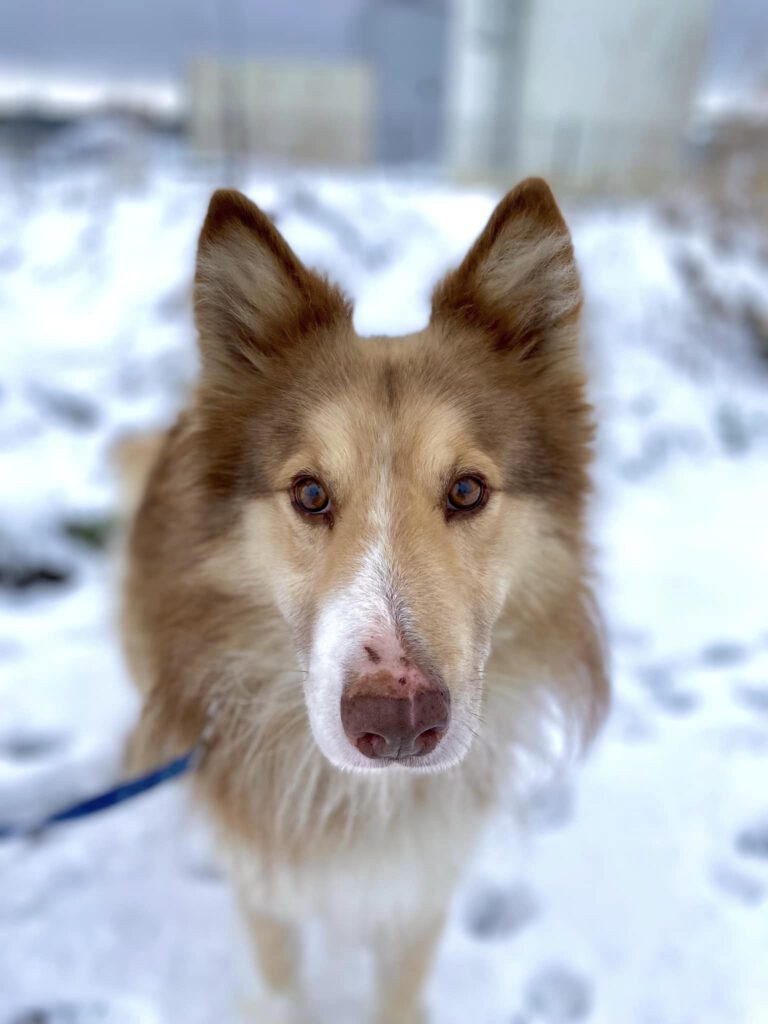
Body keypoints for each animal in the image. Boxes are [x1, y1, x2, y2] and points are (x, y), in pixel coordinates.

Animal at [120, 182, 610, 1024]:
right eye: (311, 493)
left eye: (467, 490)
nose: (400, 721)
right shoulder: (266, 886)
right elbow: (280, 982)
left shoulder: (421, 888)